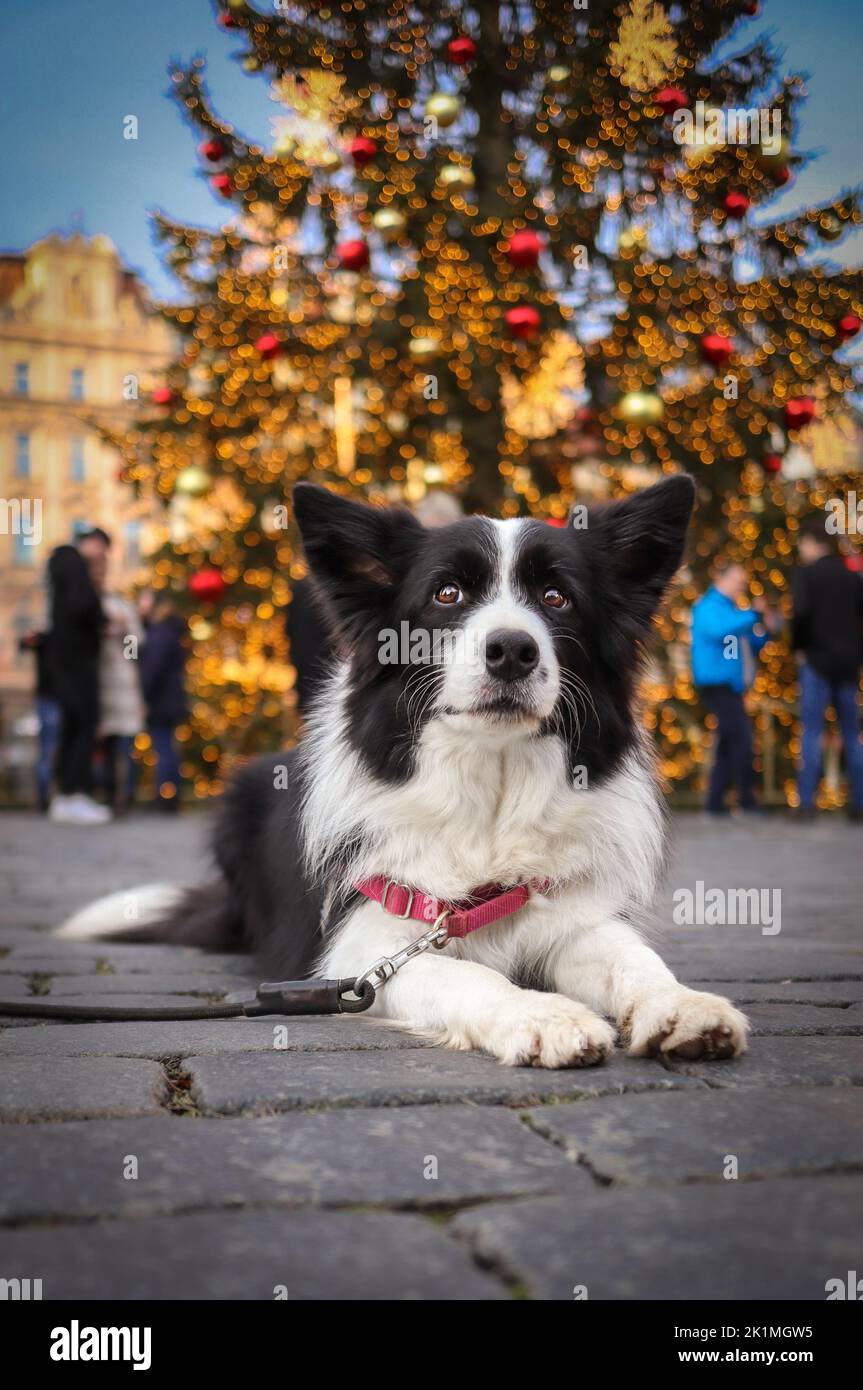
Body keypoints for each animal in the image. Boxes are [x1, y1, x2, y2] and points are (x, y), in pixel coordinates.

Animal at [60, 478, 744, 1061]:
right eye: (448, 594)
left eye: (557, 598)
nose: (512, 651)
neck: (490, 791)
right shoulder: (360, 951)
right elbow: (469, 975)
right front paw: (544, 1015)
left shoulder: (569, 915)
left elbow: (633, 958)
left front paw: (683, 1006)